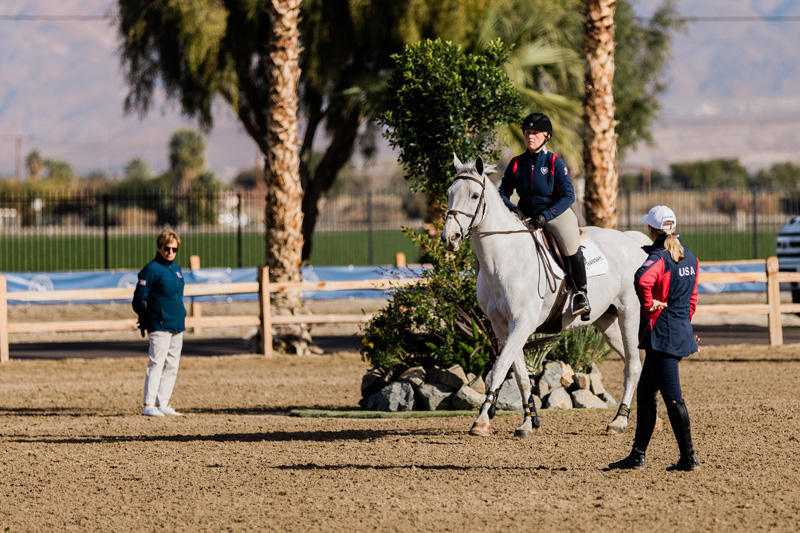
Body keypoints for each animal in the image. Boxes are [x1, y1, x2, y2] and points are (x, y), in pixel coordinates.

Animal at [440, 154, 648, 436]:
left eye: (474, 195)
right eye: (450, 193)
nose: (449, 238)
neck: (505, 258)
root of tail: (633, 241)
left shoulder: (522, 323)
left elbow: (498, 369)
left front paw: (482, 420)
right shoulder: (502, 327)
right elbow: (520, 375)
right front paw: (527, 422)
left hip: (629, 314)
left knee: (634, 365)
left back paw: (619, 421)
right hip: (608, 321)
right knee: (631, 364)